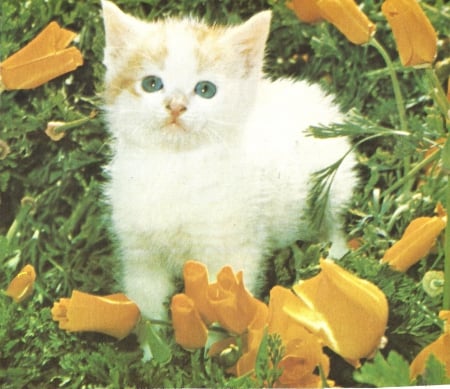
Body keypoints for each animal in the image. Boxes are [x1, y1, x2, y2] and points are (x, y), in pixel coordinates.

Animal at [102, 1, 358, 320]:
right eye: (151, 84)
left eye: (205, 89)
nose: (175, 106)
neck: (177, 164)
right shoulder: (139, 255)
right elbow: (147, 310)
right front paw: (151, 333)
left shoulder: (233, 251)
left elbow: (224, 310)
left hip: (332, 188)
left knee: (333, 227)